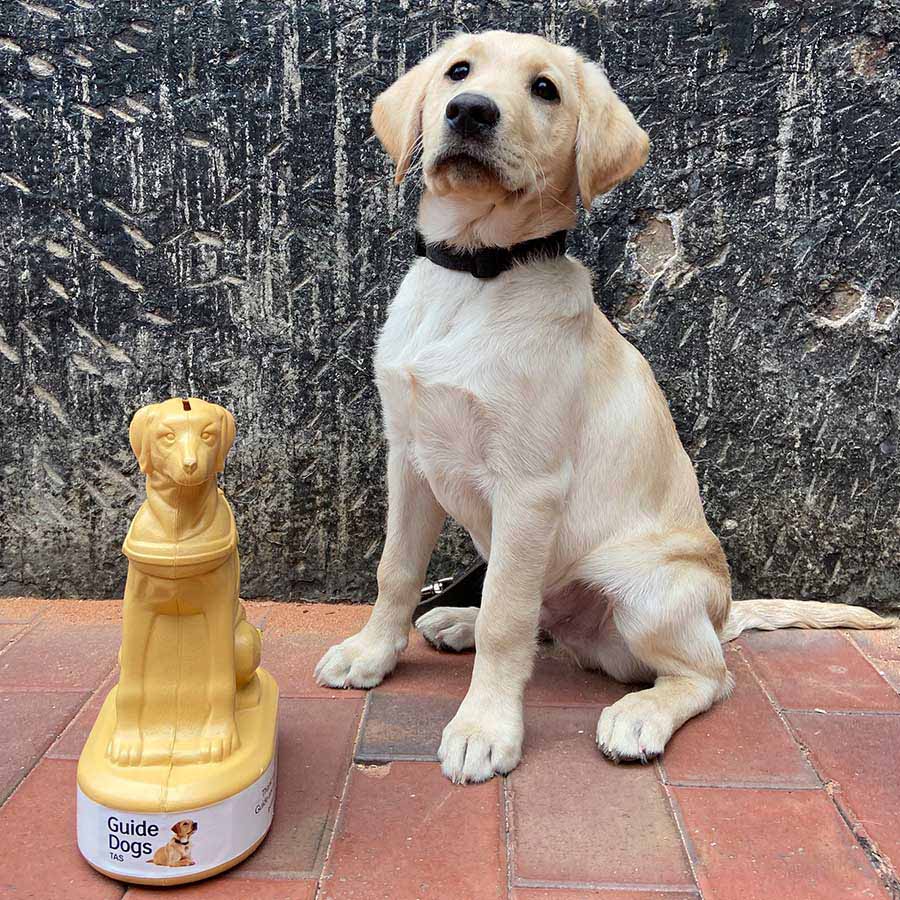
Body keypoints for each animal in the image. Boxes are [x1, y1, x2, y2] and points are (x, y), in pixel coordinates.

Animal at [312, 31, 888, 784]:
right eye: (458, 72)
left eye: (546, 89)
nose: (471, 111)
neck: (477, 274)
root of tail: (721, 613)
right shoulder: (409, 458)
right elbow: (396, 571)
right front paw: (371, 654)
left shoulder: (529, 487)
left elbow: (505, 619)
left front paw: (484, 727)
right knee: (536, 619)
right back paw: (456, 622)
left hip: (649, 591)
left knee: (707, 675)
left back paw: (639, 714)